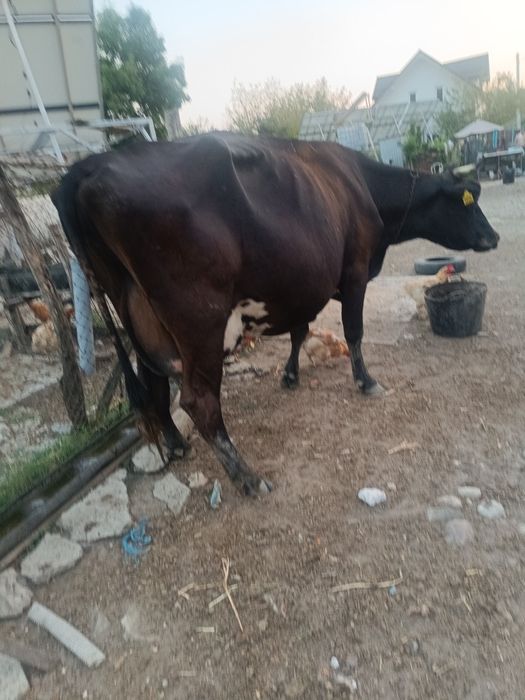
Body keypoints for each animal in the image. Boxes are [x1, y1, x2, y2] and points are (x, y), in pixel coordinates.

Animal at [51, 133, 499, 497]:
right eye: (469, 203)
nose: (493, 237)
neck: (360, 185)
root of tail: (91, 165)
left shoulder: (302, 284)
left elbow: (300, 332)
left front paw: (290, 375)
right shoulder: (354, 271)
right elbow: (353, 331)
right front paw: (366, 381)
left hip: (133, 312)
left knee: (153, 382)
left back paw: (177, 444)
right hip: (199, 320)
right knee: (198, 400)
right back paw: (247, 477)